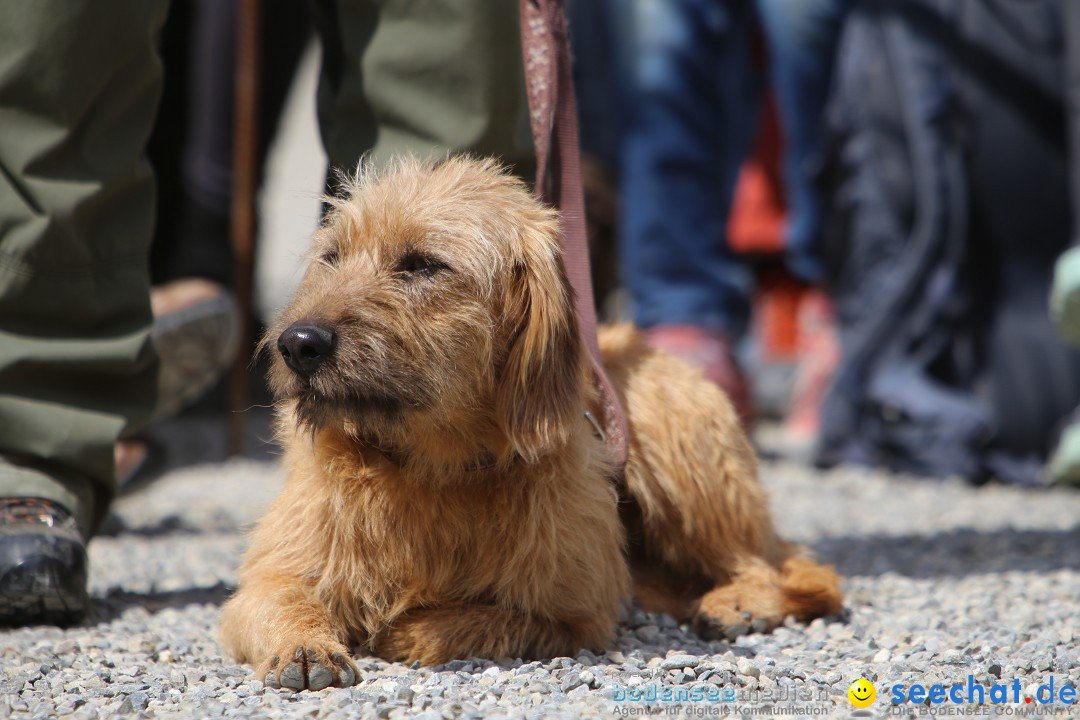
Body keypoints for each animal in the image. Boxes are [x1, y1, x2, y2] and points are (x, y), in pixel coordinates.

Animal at [219, 155, 842, 690]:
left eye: (422, 264)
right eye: (331, 256)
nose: (298, 344)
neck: (431, 467)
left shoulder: (576, 615)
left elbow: (459, 623)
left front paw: (400, 627)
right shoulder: (271, 577)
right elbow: (279, 598)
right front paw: (304, 645)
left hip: (683, 454)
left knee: (774, 566)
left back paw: (740, 601)